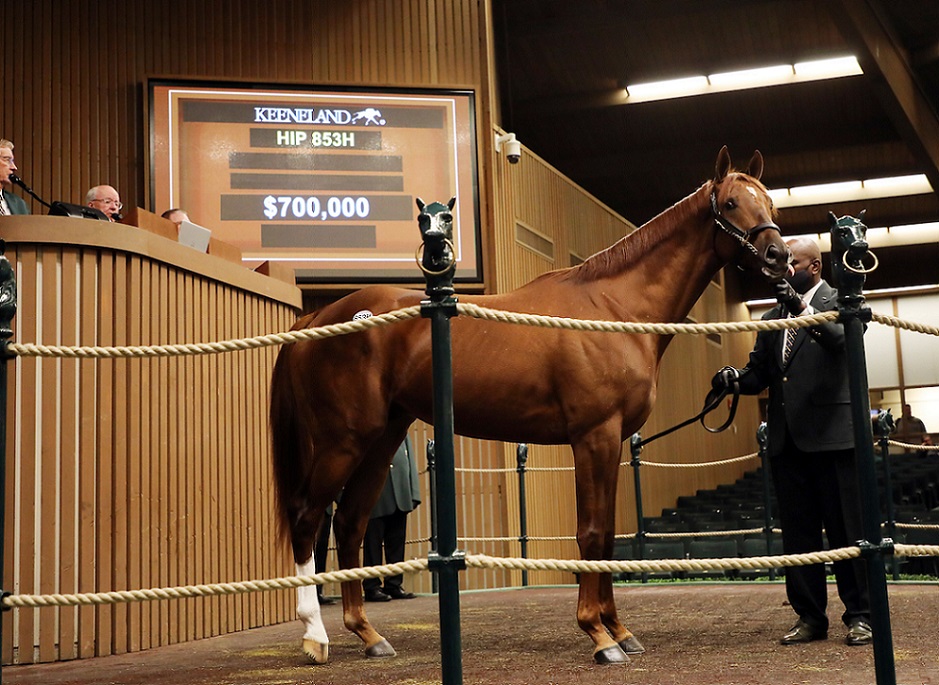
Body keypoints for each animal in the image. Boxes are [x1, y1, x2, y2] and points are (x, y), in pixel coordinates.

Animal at [269, 146, 791, 665]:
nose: (779, 255)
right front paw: (598, 635)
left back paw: (368, 634)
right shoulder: (593, 437)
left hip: (382, 439)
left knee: (350, 524)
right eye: (730, 204)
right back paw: (315, 635)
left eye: (769, 203)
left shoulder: (613, 443)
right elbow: (591, 532)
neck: (612, 309)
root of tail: (320, 314)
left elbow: (606, 536)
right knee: (308, 518)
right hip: (343, 440)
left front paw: (619, 630)